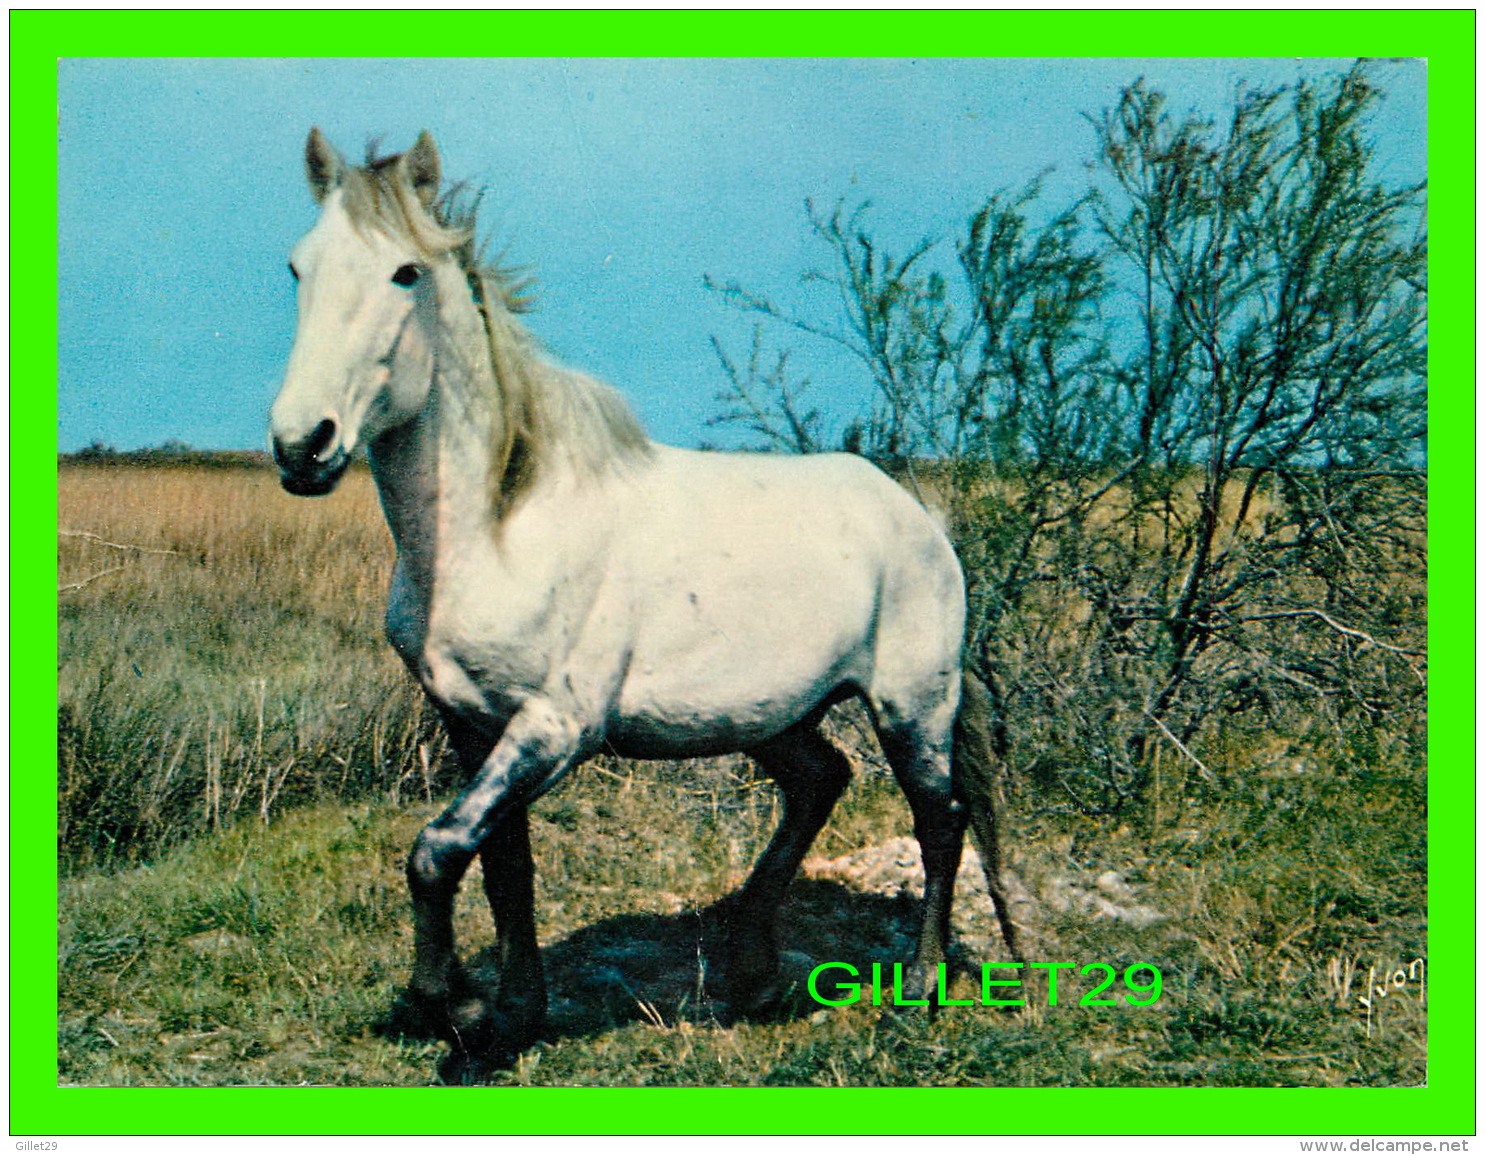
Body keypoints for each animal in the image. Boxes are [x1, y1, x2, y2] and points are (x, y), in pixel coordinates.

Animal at [270, 130, 1021, 1057]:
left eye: (405, 272)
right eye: (298, 267)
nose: (302, 445)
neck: (497, 530)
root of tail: (918, 514)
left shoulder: (556, 727)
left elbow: (437, 850)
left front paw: (455, 1009)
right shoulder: (472, 723)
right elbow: (504, 867)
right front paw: (511, 1014)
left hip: (910, 703)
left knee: (940, 819)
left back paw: (915, 992)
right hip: (772, 715)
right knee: (821, 781)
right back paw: (751, 971)